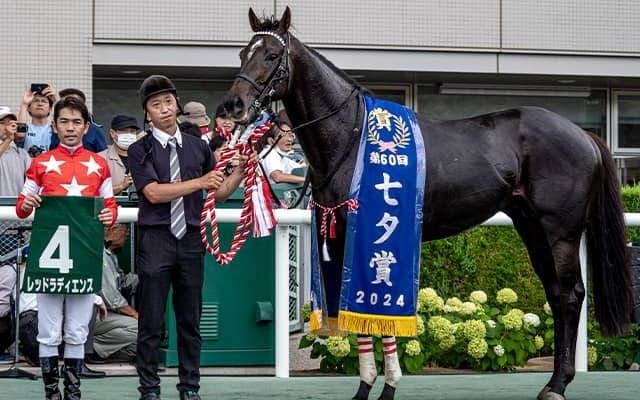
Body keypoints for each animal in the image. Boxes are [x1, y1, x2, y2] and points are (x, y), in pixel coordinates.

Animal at [224, 7, 632, 400]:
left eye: (272, 55)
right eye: (243, 53)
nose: (233, 105)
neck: (351, 135)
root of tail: (585, 135)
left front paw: (385, 386)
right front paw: (367, 386)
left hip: (559, 232)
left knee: (569, 296)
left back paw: (557, 384)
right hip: (531, 228)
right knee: (557, 294)